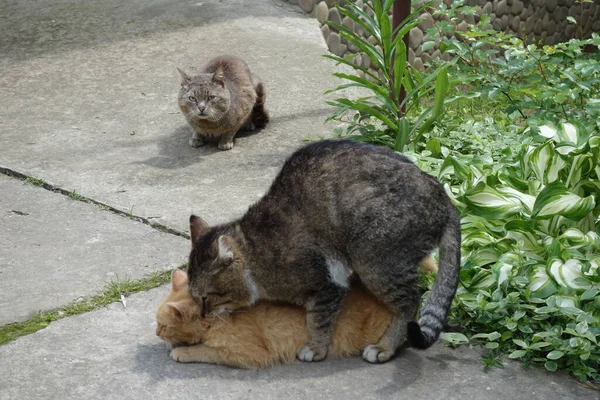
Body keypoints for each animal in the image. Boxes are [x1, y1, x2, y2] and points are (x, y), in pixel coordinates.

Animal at [185, 139, 462, 364]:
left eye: (205, 297)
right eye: (196, 299)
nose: (203, 315)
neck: (255, 251)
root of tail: (444, 197)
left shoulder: (326, 283)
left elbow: (318, 319)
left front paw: (316, 348)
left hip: (373, 259)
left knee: (411, 302)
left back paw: (385, 346)